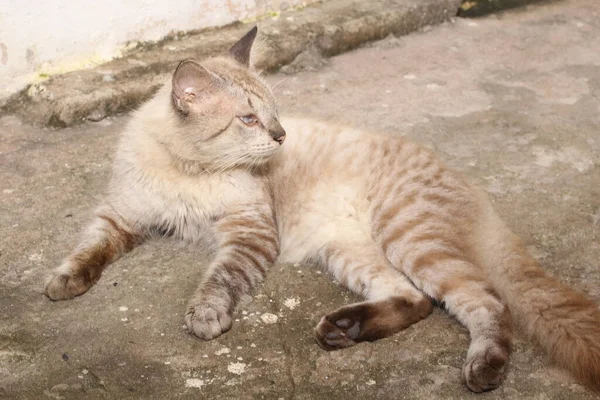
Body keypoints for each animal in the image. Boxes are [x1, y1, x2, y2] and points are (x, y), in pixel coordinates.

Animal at [44, 26, 600, 392]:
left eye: (272, 114)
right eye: (248, 119)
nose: (280, 136)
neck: (190, 170)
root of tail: (471, 186)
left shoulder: (248, 233)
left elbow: (219, 279)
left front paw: (204, 315)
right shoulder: (121, 214)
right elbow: (88, 250)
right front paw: (63, 284)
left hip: (408, 239)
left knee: (483, 301)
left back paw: (483, 369)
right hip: (348, 252)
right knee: (415, 299)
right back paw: (342, 330)